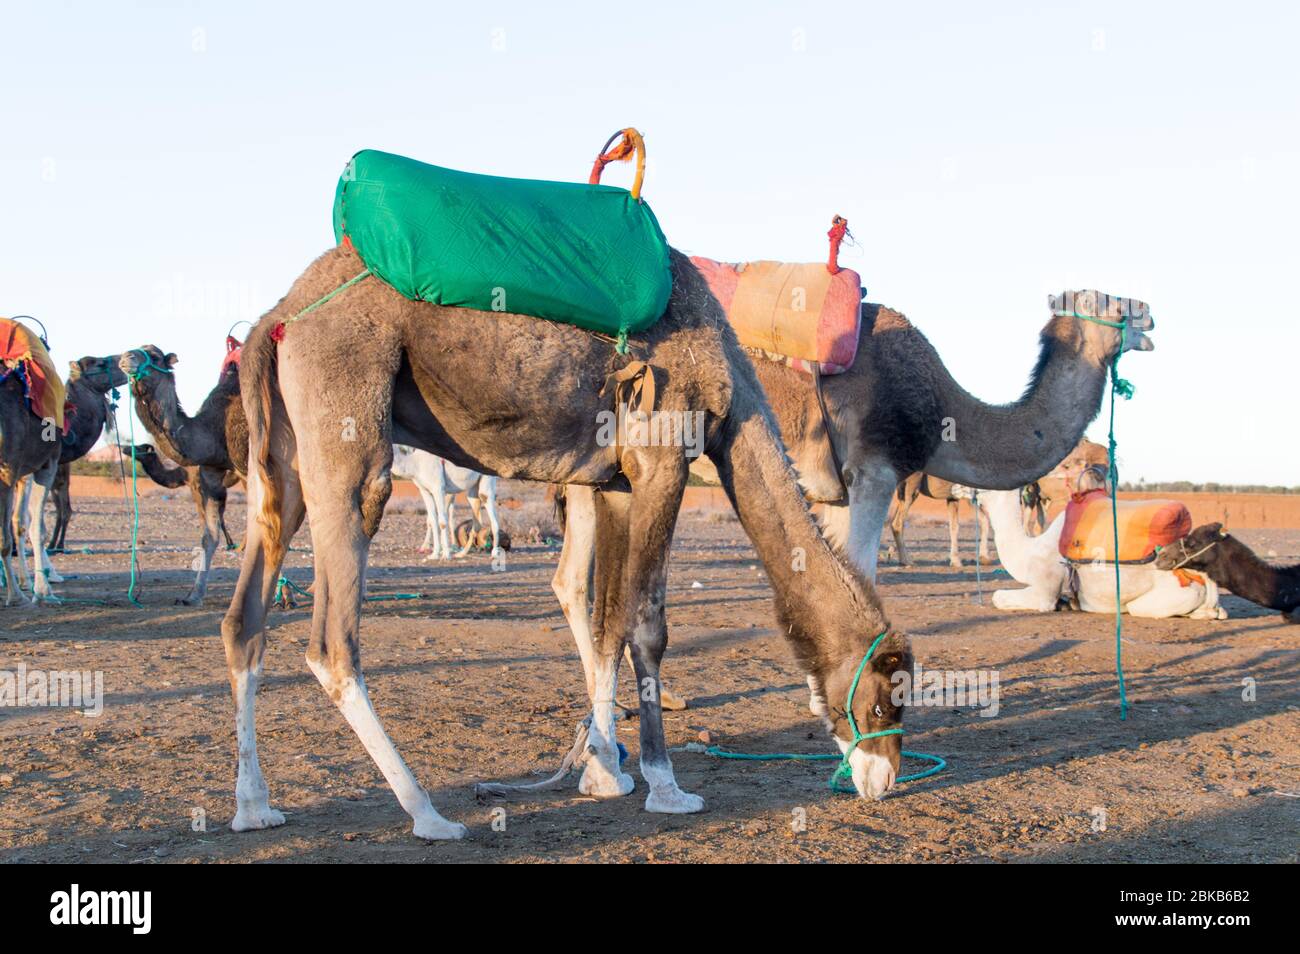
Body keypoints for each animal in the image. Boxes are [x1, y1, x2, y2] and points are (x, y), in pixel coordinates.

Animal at [1, 350, 125, 605]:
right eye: (100, 363)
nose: (129, 359)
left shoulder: (22, 474)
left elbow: (20, 523)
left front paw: (29, 580)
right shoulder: (41, 466)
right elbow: (31, 524)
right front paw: (41, 586)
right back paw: (17, 595)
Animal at [120, 348, 246, 605]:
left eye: (154, 356)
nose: (126, 357)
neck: (213, 429)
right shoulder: (209, 474)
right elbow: (209, 537)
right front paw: (192, 596)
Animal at [220, 243, 915, 842]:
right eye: (888, 702)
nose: (884, 780)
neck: (733, 392)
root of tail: (275, 320)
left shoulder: (615, 482)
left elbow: (607, 622)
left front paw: (604, 768)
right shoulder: (663, 458)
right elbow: (646, 626)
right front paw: (665, 786)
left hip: (281, 463)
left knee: (244, 617)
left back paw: (254, 807)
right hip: (347, 428)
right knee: (331, 642)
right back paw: (429, 814)